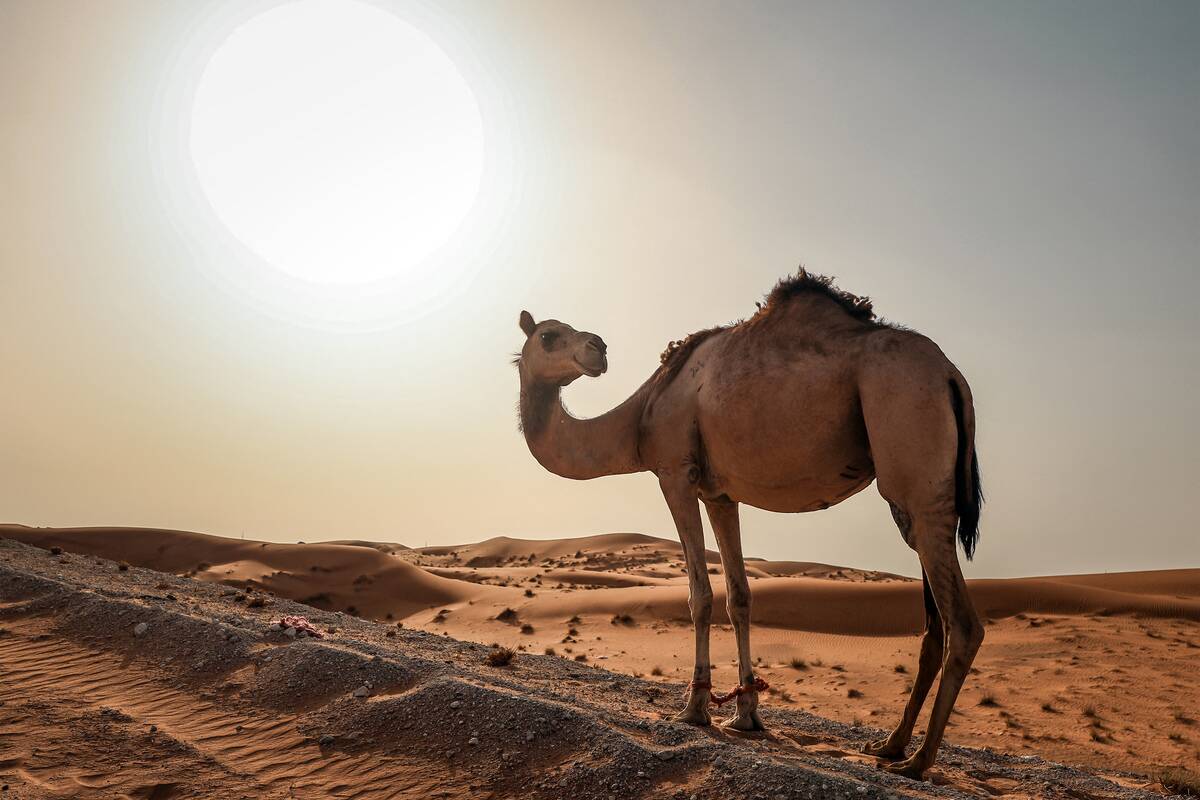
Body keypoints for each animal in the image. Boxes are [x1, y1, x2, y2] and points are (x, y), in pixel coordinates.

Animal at [514, 271, 983, 778]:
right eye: (549, 335)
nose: (597, 347)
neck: (640, 418)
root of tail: (951, 375)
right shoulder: (720, 493)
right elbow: (739, 597)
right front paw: (746, 715)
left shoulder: (675, 473)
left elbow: (700, 596)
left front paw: (694, 709)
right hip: (917, 501)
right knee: (933, 624)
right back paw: (890, 745)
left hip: (912, 452)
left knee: (963, 624)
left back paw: (918, 761)